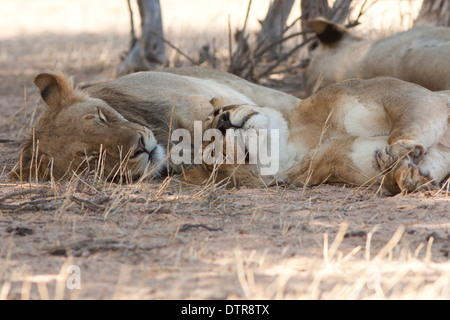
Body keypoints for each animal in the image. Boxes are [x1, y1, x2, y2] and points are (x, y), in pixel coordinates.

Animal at [12, 66, 448, 194]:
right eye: (93, 161)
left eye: (102, 117)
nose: (221, 117)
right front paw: (405, 171)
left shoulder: (407, 97)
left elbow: (411, 122)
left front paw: (400, 151)